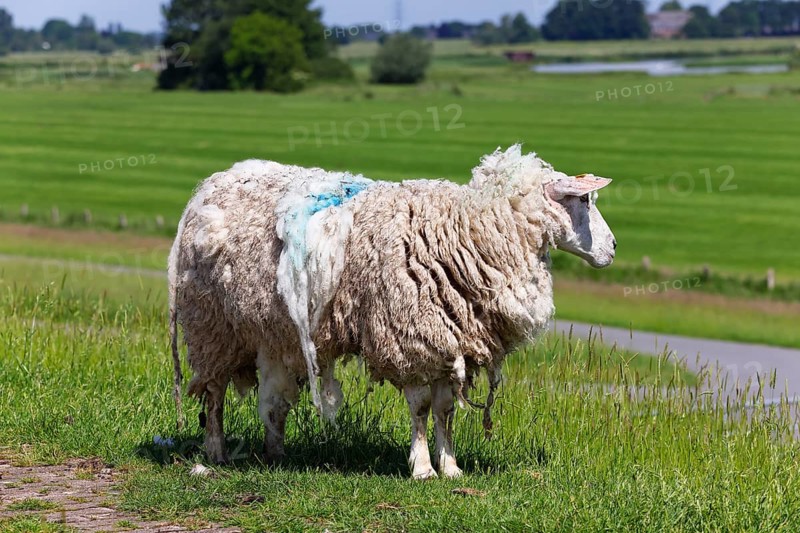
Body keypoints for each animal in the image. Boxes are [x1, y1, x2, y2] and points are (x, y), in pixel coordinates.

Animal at [168, 145, 616, 478]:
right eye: (582, 199)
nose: (612, 249)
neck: (473, 229)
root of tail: (207, 189)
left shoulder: (448, 342)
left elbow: (445, 410)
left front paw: (450, 467)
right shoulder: (410, 338)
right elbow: (420, 408)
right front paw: (422, 468)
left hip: (270, 333)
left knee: (272, 401)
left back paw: (276, 453)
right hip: (213, 326)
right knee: (213, 394)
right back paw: (215, 451)